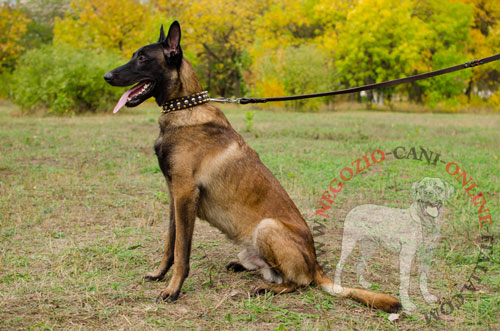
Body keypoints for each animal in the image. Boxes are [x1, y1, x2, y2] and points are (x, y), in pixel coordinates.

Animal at [103, 20, 400, 314]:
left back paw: (267, 289)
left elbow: (181, 252)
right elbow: (170, 243)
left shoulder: (185, 194)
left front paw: (173, 290)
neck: (184, 109)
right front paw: (159, 275)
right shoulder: (174, 196)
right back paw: (243, 268)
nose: (106, 76)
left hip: (267, 227)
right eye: (135, 55)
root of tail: (317, 266)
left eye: (143, 58)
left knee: (299, 283)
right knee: (272, 272)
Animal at [334, 178, 456, 312]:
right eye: (422, 187)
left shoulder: (427, 254)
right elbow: (405, 280)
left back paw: (363, 283)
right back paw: (337, 286)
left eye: (438, 188)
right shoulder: (406, 255)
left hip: (369, 247)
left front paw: (427, 296)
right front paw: (407, 303)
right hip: (349, 243)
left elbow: (424, 277)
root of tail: (353, 209)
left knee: (359, 263)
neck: (426, 222)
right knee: (339, 264)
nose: (428, 193)